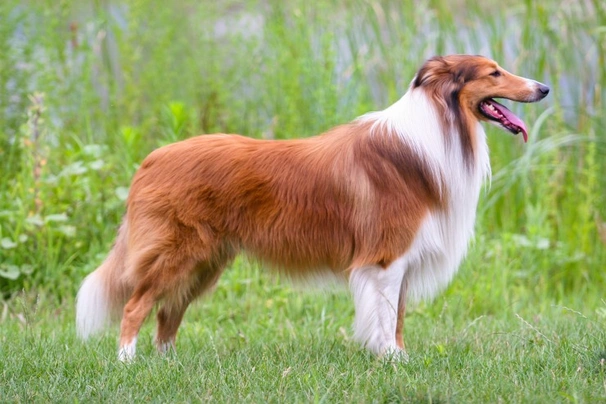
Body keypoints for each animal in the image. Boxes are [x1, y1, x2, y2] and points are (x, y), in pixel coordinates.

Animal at [75, 53, 552, 360]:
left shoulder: (401, 261)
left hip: (204, 263)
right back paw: (128, 362)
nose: (544, 88)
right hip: (178, 254)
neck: (439, 126)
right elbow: (384, 317)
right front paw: (390, 362)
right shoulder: (385, 258)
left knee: (167, 313)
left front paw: (400, 358)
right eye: (494, 72)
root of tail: (151, 159)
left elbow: (398, 317)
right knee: (136, 306)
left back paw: (167, 364)